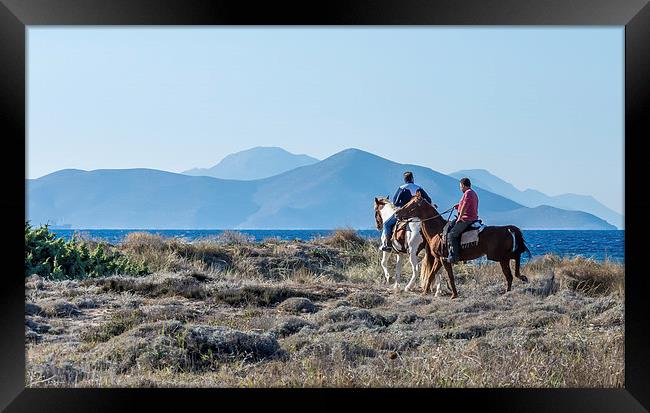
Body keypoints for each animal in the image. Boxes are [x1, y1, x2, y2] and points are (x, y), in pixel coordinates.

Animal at [392, 192, 528, 298]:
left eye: (412, 204)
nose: (397, 214)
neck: (437, 231)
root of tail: (508, 229)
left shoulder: (444, 259)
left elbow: (450, 276)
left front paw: (454, 295)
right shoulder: (438, 259)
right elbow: (431, 275)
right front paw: (425, 292)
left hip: (499, 257)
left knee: (512, 268)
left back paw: (518, 280)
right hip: (502, 257)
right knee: (511, 272)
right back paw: (514, 285)